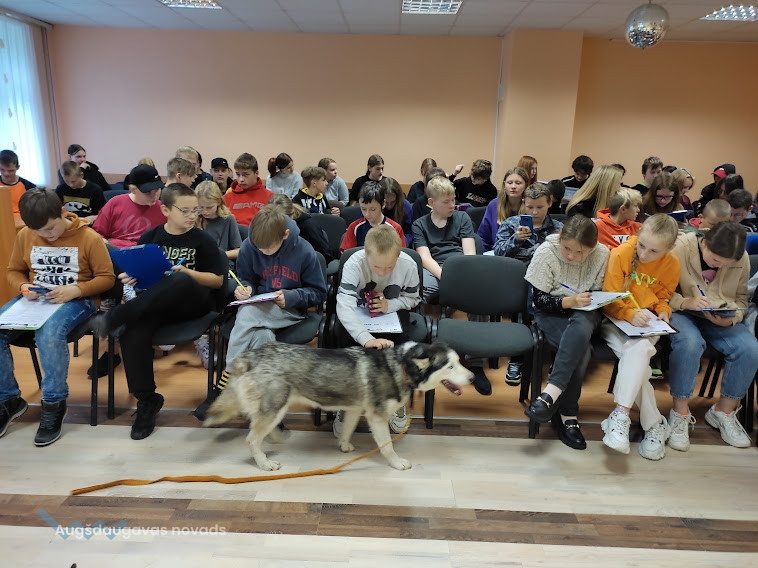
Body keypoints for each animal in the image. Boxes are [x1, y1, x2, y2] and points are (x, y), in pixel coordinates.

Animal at [203, 341, 473, 471]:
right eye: (450, 366)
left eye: (459, 362)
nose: (472, 378)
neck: (400, 366)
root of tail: (251, 354)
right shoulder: (377, 416)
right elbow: (386, 446)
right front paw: (397, 463)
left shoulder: (354, 408)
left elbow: (348, 428)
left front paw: (344, 445)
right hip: (276, 406)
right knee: (251, 438)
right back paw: (264, 463)